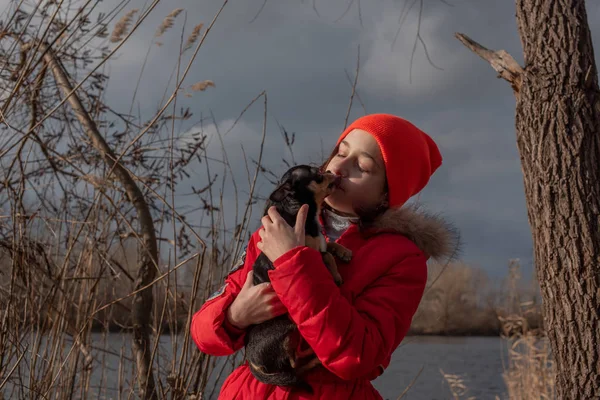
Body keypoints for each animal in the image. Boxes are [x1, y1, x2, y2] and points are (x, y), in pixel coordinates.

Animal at [244, 166, 352, 394]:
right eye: (317, 174)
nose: (331, 171)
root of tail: (251, 362)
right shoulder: (305, 250)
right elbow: (325, 255)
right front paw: (336, 275)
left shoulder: (319, 244)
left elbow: (328, 246)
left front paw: (343, 251)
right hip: (288, 325)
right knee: (293, 364)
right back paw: (316, 357)